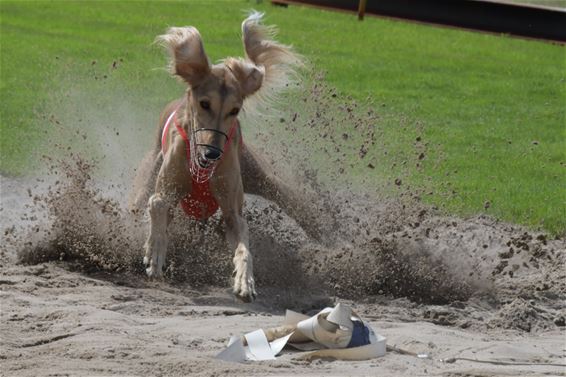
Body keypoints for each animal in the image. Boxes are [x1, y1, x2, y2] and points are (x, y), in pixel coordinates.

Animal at [131, 13, 322, 302]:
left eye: (235, 110)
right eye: (204, 103)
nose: (213, 153)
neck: (201, 168)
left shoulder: (233, 211)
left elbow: (243, 245)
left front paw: (245, 281)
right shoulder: (165, 189)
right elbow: (158, 205)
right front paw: (154, 253)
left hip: (256, 174)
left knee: (290, 200)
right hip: (149, 173)